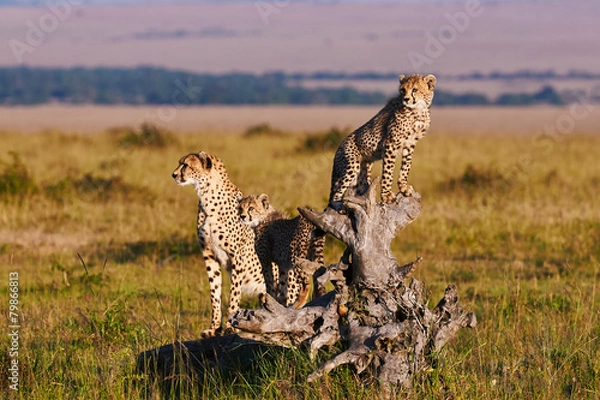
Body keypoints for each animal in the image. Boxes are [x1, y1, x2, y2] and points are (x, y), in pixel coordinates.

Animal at [173, 152, 268, 338]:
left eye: (185, 165)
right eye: (180, 163)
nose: (173, 175)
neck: (207, 196)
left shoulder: (237, 257)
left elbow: (234, 295)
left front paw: (231, 327)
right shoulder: (209, 255)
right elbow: (214, 294)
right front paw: (214, 328)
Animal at [328, 73, 436, 209]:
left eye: (414, 90)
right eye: (402, 90)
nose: (406, 99)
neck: (418, 110)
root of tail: (338, 148)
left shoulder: (411, 143)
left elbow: (406, 166)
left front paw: (403, 187)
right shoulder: (391, 143)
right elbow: (388, 171)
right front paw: (386, 195)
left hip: (363, 172)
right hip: (352, 165)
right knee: (336, 193)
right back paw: (339, 206)